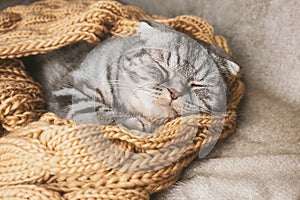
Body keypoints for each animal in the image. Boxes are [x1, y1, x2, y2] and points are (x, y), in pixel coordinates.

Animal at [23, 20, 240, 133]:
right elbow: (96, 109)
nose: (174, 92)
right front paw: (135, 123)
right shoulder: (68, 89)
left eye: (197, 85)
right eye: (161, 65)